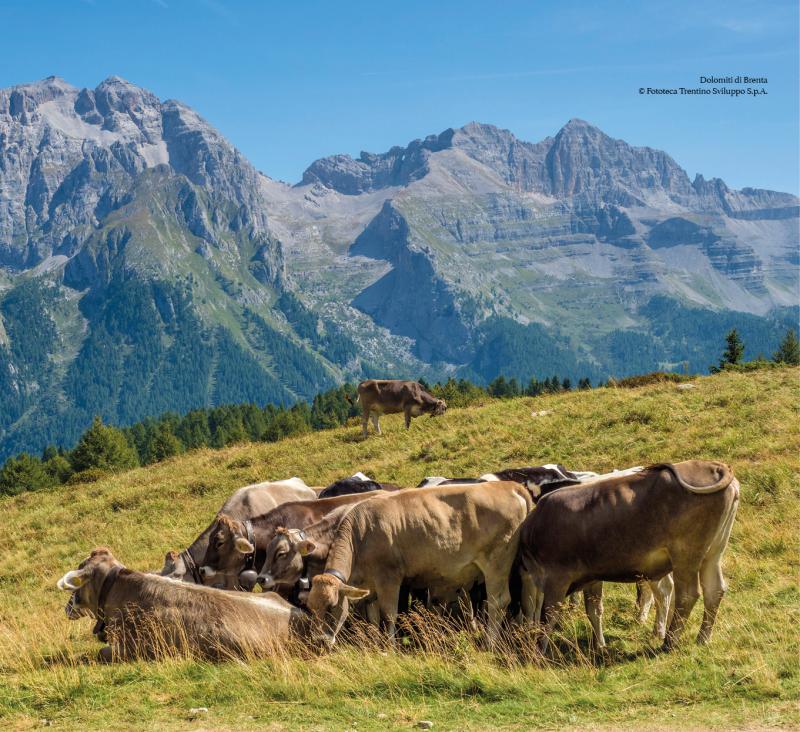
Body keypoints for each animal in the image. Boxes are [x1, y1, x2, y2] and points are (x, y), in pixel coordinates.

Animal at [304, 480, 528, 648]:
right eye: (310, 608)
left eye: (332, 606)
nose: (319, 641)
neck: (361, 533)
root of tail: (509, 486)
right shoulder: (370, 588)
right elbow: (373, 617)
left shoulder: (389, 578)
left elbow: (389, 614)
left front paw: (390, 647)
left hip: (497, 563)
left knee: (498, 602)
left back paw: (490, 643)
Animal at [520, 460, 736, 656]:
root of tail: (715, 466)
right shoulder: (591, 575)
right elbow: (593, 609)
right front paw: (598, 643)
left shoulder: (558, 576)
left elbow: (549, 613)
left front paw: (539, 649)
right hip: (712, 552)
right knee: (713, 590)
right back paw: (700, 638)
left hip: (685, 554)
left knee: (686, 594)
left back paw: (668, 641)